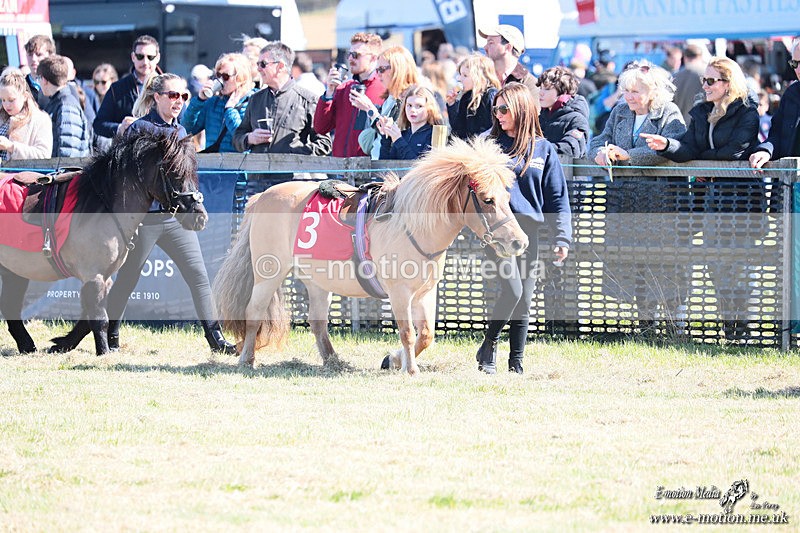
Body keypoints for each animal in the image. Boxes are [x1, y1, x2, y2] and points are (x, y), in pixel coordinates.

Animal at [0, 130, 207, 355]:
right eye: (175, 172)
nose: (200, 217)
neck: (100, 206)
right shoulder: (94, 276)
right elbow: (99, 319)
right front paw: (103, 352)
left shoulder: (103, 278)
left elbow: (89, 318)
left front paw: (63, 343)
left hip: (14, 269)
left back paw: (27, 345)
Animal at [213, 137, 529, 375]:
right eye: (487, 200)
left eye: (506, 197)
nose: (519, 242)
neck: (411, 226)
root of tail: (260, 198)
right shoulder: (399, 293)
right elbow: (408, 332)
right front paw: (410, 369)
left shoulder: (425, 293)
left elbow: (426, 335)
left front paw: (394, 360)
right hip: (268, 273)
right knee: (253, 314)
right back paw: (247, 360)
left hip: (317, 282)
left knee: (318, 322)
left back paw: (333, 361)